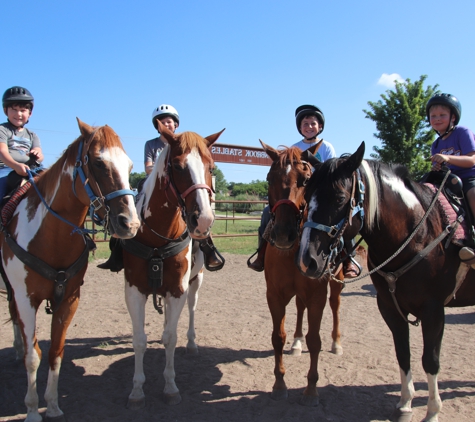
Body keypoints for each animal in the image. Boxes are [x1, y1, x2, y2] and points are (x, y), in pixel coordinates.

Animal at [0, 118, 139, 422]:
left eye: (129, 165)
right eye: (98, 162)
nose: (130, 224)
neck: (51, 236)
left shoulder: (69, 299)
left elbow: (56, 351)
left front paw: (52, 405)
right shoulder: (27, 299)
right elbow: (34, 356)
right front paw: (32, 411)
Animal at [122, 121, 223, 408]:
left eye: (211, 167)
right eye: (177, 166)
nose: (203, 220)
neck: (158, 236)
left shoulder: (178, 290)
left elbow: (171, 337)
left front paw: (170, 386)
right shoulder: (134, 291)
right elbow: (139, 341)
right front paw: (136, 390)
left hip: (195, 282)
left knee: (190, 311)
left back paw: (191, 344)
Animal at [260, 141, 346, 406]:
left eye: (306, 180)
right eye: (269, 178)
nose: (282, 234)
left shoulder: (317, 297)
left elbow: (315, 340)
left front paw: (311, 389)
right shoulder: (274, 295)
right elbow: (278, 336)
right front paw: (279, 384)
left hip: (337, 284)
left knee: (336, 306)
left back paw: (337, 343)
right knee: (299, 308)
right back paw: (297, 343)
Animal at [296, 141, 475, 418]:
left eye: (339, 198)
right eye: (307, 198)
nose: (308, 259)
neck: (417, 234)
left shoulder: (434, 311)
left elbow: (430, 360)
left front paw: (432, 411)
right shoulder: (389, 307)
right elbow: (403, 353)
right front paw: (405, 403)